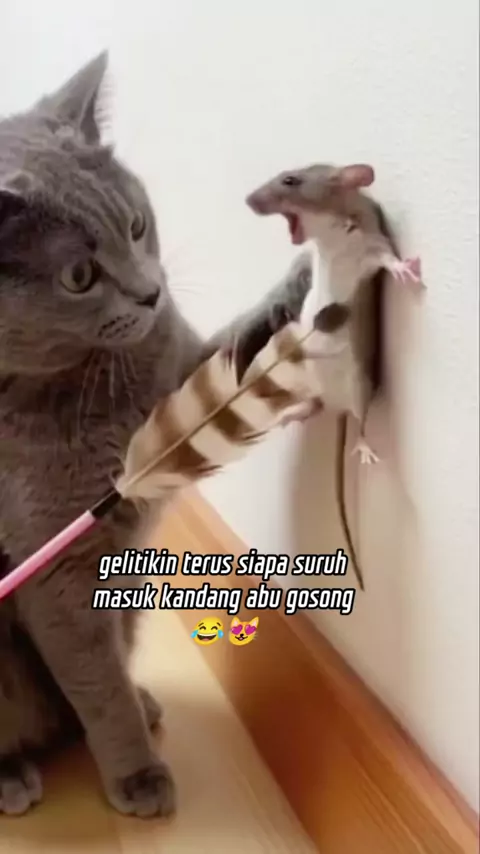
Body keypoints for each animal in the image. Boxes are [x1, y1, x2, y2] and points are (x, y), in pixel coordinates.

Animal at [0, 52, 311, 818]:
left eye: (138, 225)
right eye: (79, 274)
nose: (150, 292)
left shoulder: (180, 372)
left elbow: (234, 350)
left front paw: (304, 278)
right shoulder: (55, 566)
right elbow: (95, 682)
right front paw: (137, 773)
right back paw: (12, 775)